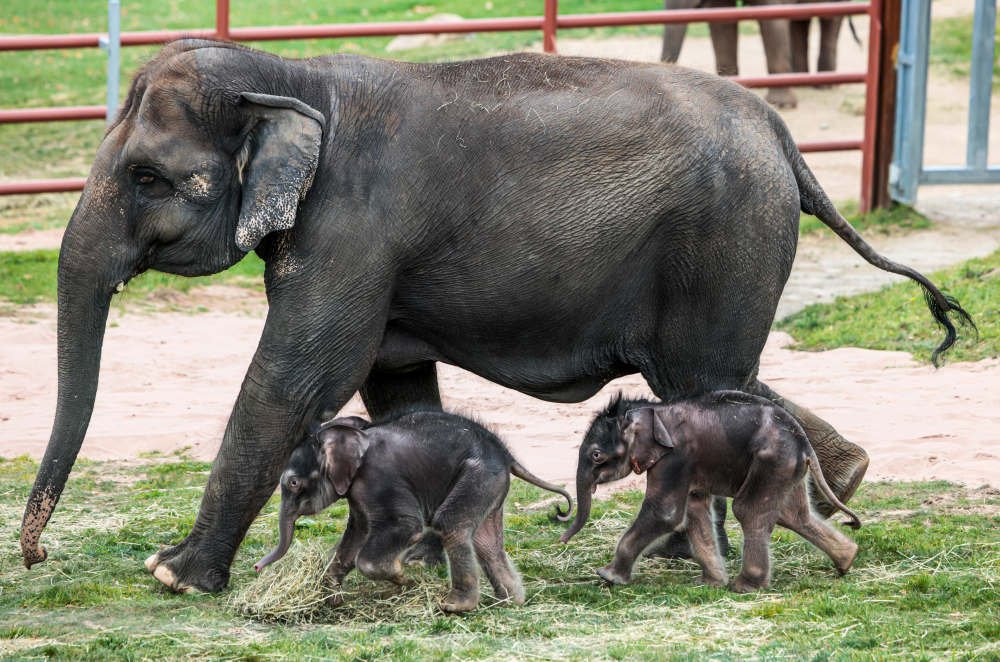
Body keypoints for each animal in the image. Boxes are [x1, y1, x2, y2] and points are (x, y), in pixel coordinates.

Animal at [254, 412, 576, 616]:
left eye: (293, 484)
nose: (257, 568)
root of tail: (507, 455)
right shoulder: (358, 493)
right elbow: (357, 534)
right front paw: (331, 598)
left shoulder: (379, 478)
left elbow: (405, 527)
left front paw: (401, 576)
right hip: (491, 484)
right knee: (485, 541)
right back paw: (509, 602)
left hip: (479, 474)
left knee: (451, 525)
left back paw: (456, 606)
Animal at [564, 394, 860, 596]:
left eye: (596, 455)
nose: (562, 536)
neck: (653, 409)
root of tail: (805, 444)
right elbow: (694, 510)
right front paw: (709, 584)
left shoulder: (676, 457)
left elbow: (666, 514)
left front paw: (607, 577)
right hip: (787, 468)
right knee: (795, 516)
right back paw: (847, 561)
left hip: (772, 461)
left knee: (749, 511)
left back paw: (745, 588)